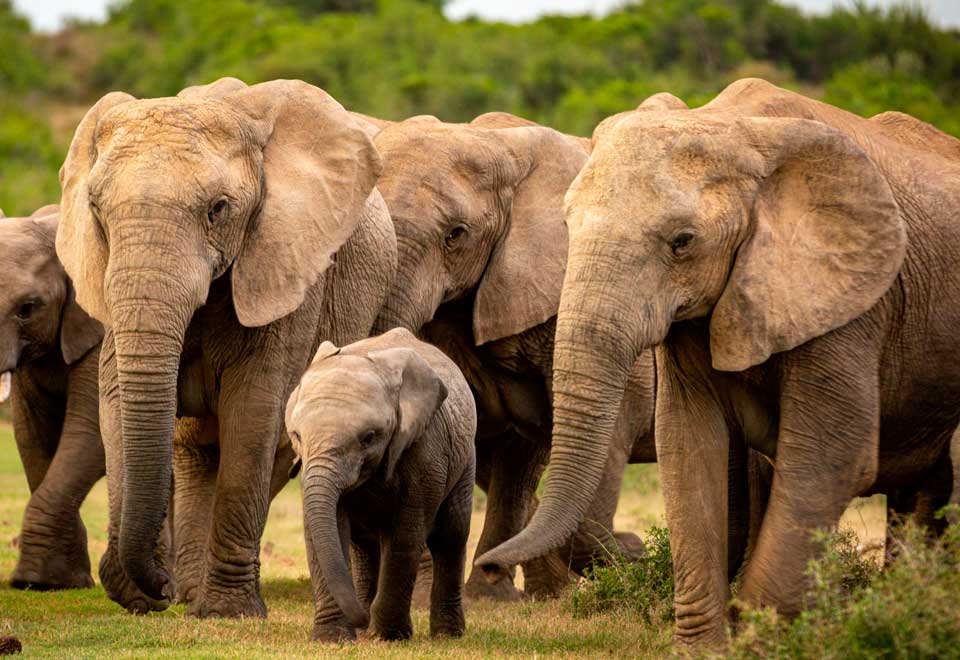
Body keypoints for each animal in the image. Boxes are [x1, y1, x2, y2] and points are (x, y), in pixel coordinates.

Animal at [55, 76, 397, 617]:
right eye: (95, 210)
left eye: (218, 210)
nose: (161, 586)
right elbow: (115, 403)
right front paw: (142, 595)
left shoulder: (283, 268)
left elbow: (253, 413)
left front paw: (229, 611)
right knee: (194, 450)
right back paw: (192, 593)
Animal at [285, 327, 476, 642]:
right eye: (296, 435)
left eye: (369, 438)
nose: (362, 619)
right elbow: (324, 530)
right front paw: (332, 639)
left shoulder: (425, 449)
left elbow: (406, 532)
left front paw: (389, 636)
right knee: (363, 545)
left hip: (465, 457)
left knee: (451, 535)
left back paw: (447, 635)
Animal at [477, 78, 960, 650]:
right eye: (569, 224)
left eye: (683, 242)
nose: (488, 566)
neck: (736, 129)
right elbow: (690, 445)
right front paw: (704, 649)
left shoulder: (847, 304)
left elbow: (830, 456)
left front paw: (760, 639)